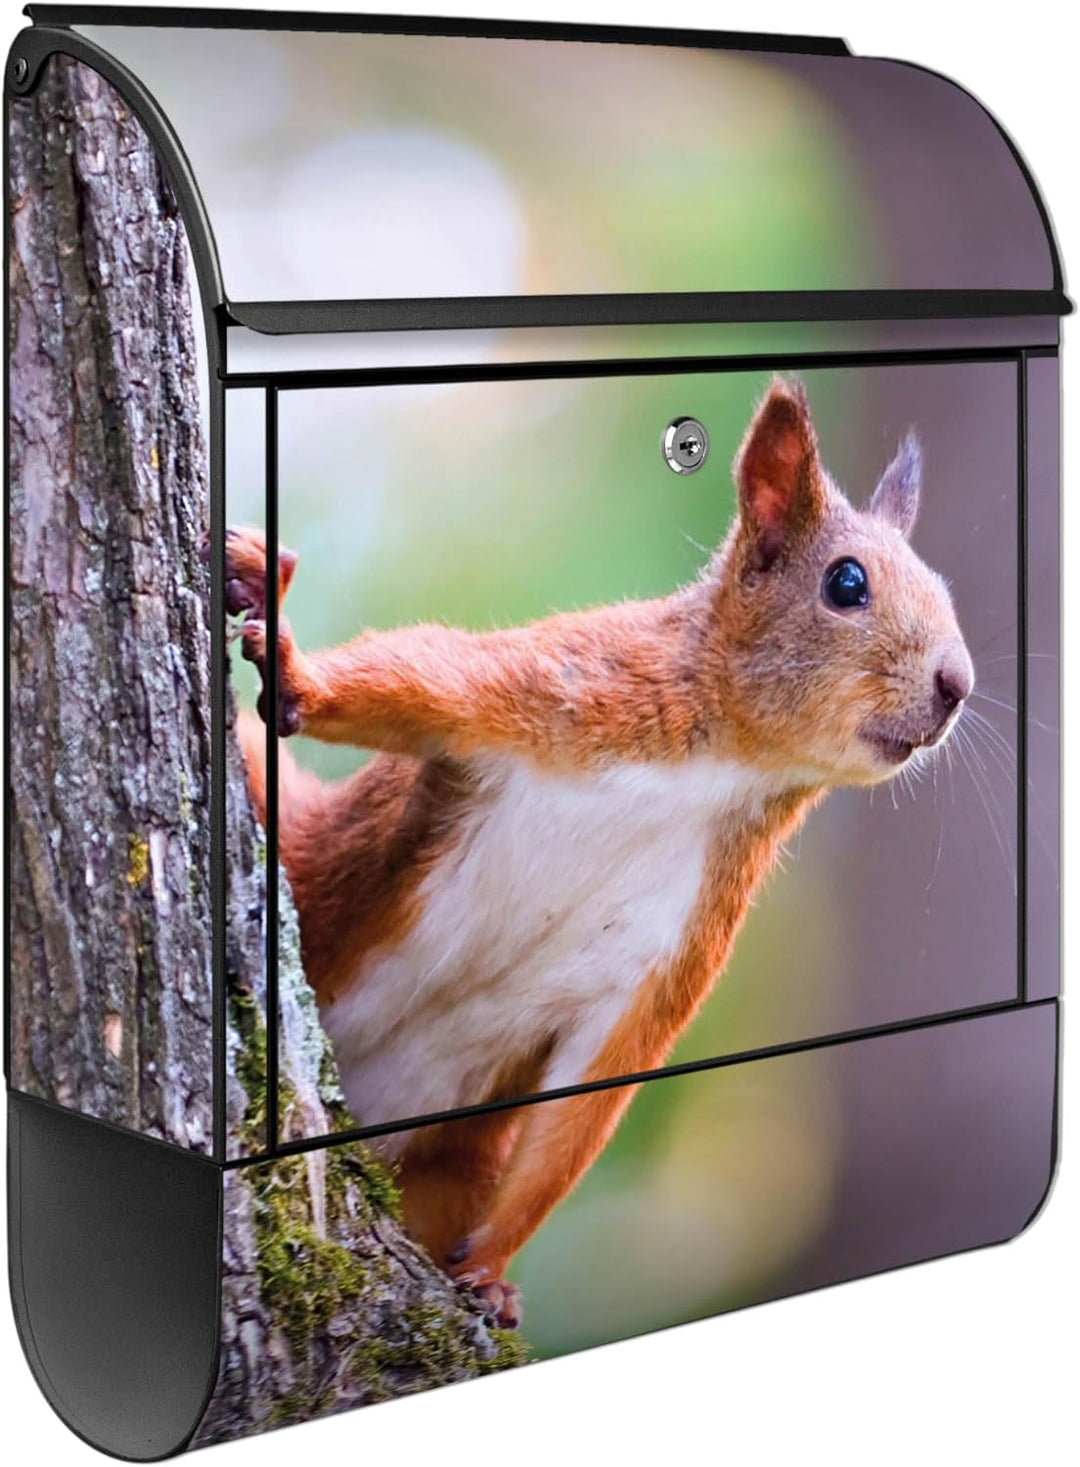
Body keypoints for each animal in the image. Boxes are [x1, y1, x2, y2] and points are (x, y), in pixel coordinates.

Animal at [225, 377, 973, 1328]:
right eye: (847, 583)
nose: (958, 686)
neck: (724, 767)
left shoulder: (678, 936)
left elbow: (593, 1092)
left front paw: (491, 1269)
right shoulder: (567, 686)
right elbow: (423, 677)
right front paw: (296, 672)